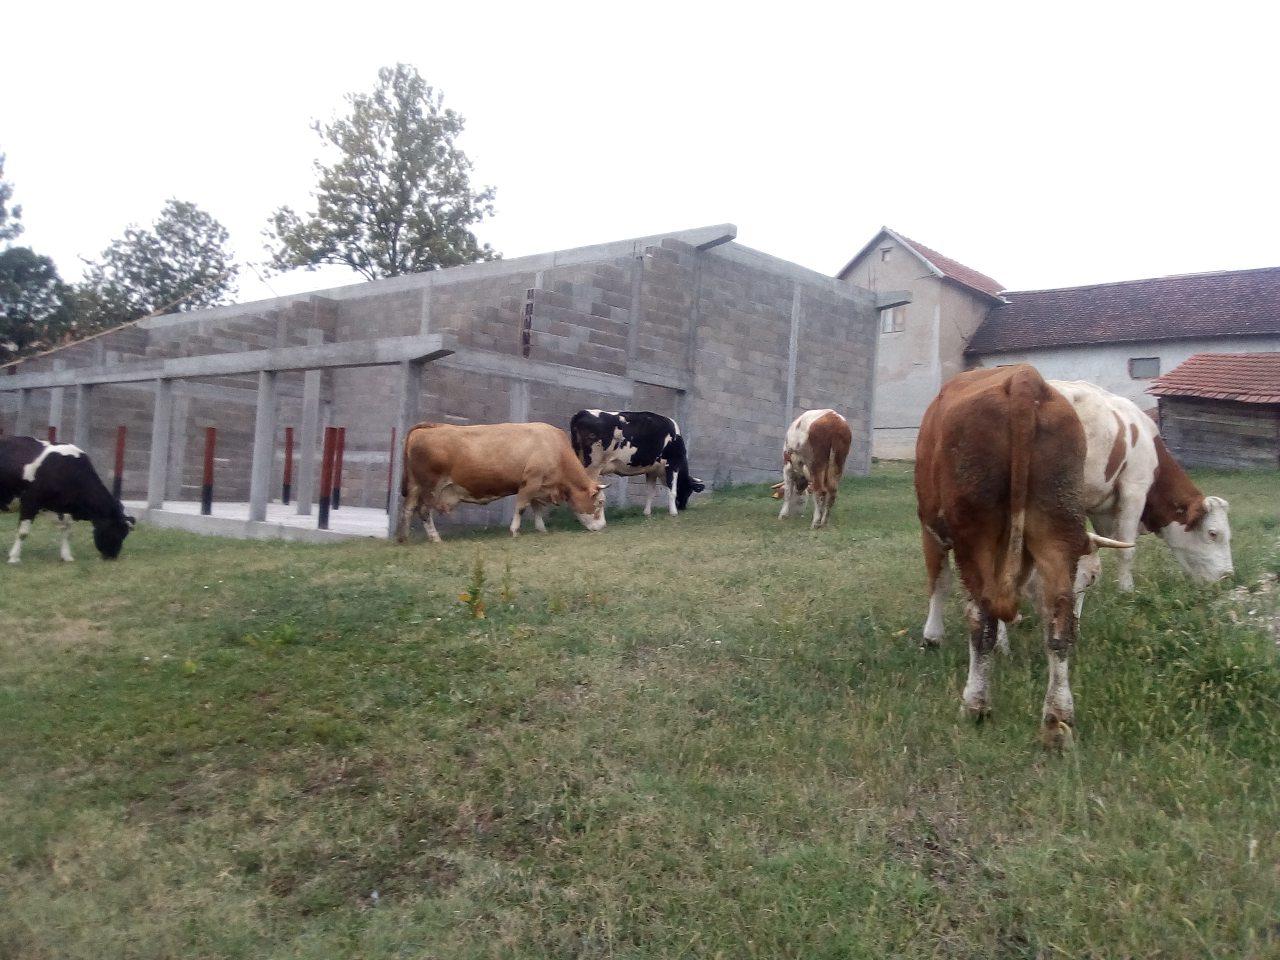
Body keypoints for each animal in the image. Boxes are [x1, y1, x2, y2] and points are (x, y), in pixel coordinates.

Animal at [1, 435, 135, 564]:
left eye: (125, 534)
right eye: (116, 531)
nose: (112, 557)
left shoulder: (61, 508)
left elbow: (67, 530)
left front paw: (66, 556)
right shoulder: (30, 502)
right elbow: (23, 532)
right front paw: (14, 558)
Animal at [396, 421, 608, 543]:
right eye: (600, 502)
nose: (602, 527)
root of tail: (430, 426)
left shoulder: (539, 486)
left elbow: (537, 508)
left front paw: (541, 529)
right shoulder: (530, 482)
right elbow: (521, 507)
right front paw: (514, 531)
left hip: (415, 486)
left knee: (408, 509)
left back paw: (403, 538)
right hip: (430, 487)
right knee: (423, 511)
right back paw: (435, 538)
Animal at [568, 410, 704, 516]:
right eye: (689, 490)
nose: (683, 507)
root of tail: (582, 413)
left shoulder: (652, 470)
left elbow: (650, 492)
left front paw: (647, 513)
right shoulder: (673, 464)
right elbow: (672, 490)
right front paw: (673, 513)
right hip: (592, 466)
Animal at [915, 366, 1130, 747]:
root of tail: (1024, 379)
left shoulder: (931, 528)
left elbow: (938, 582)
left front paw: (932, 637)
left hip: (975, 533)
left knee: (981, 614)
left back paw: (976, 705)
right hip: (1056, 525)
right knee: (1059, 619)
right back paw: (1057, 718)